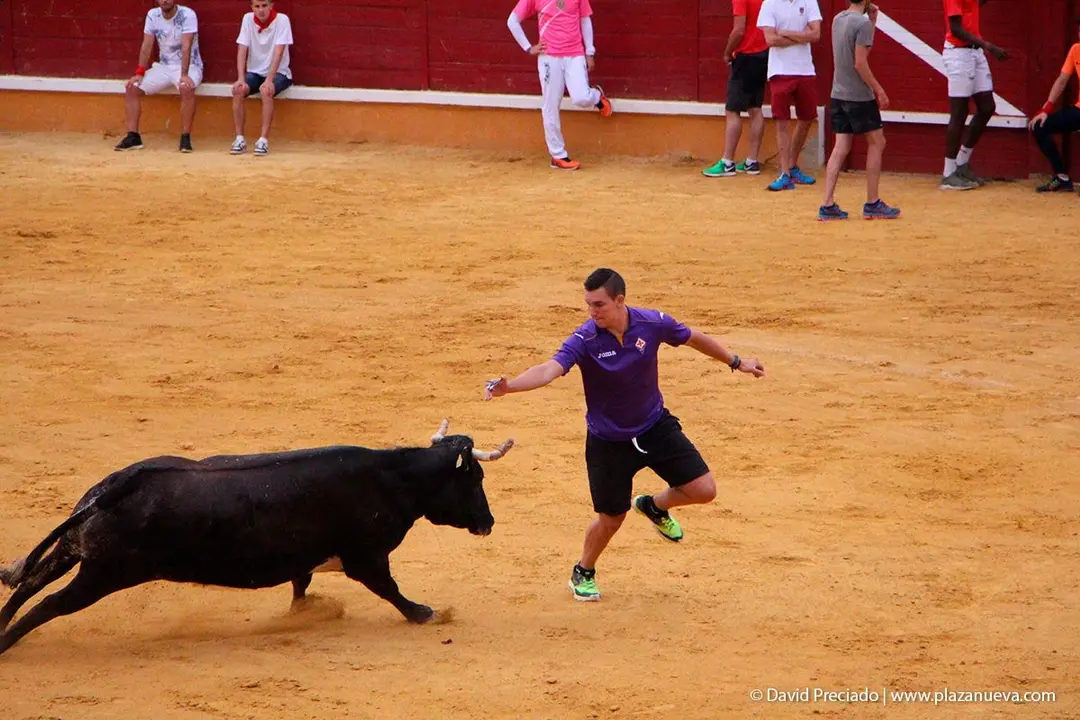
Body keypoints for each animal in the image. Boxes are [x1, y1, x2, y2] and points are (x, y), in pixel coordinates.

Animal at [0, 419, 513, 656]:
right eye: (475, 479)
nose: (488, 522)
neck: (393, 477)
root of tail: (120, 483)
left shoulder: (306, 555)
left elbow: (301, 585)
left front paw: (304, 613)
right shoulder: (365, 557)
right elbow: (390, 589)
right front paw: (426, 613)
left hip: (77, 550)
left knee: (31, 583)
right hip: (105, 572)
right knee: (48, 603)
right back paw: (7, 644)